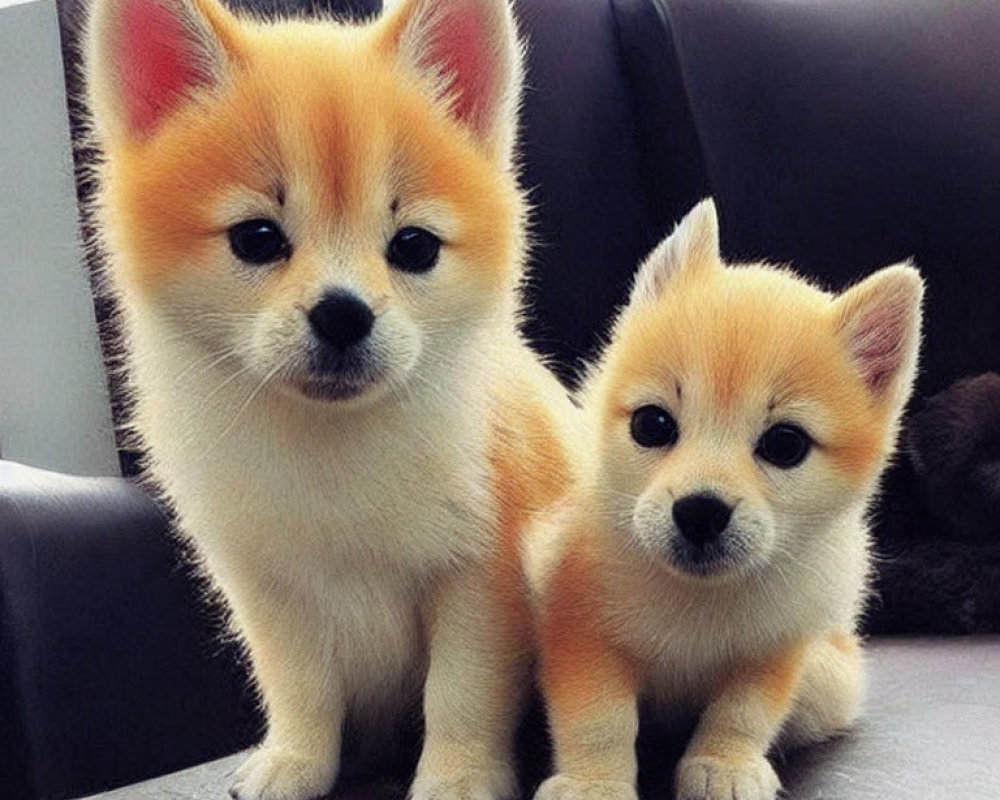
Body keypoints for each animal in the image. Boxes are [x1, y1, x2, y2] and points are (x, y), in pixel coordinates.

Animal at [528, 200, 924, 800]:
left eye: (785, 444)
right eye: (652, 424)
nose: (700, 510)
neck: (697, 597)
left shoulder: (777, 646)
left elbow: (742, 711)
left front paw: (724, 764)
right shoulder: (580, 630)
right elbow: (599, 718)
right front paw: (594, 782)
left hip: (829, 681)